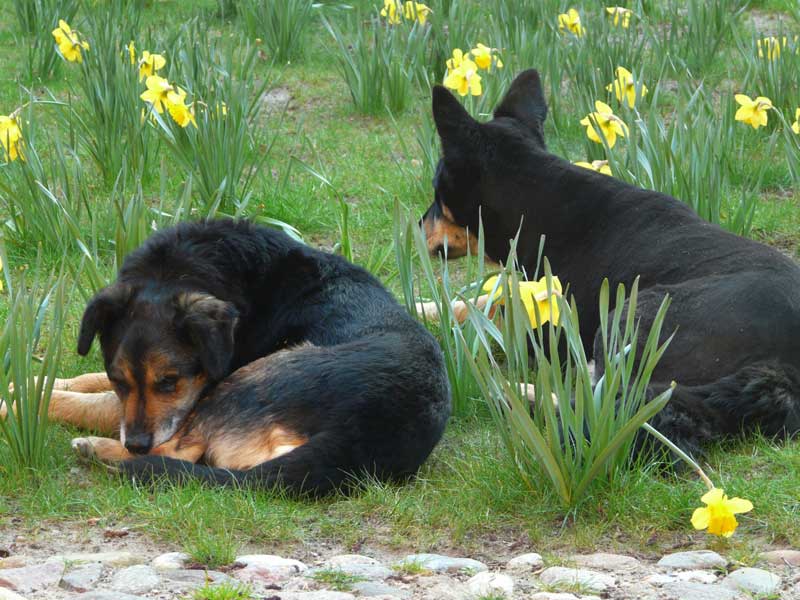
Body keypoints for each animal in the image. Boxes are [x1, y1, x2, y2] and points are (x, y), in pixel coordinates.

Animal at [43, 218, 454, 494]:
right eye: (119, 379)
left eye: (169, 382)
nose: (136, 443)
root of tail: (358, 436)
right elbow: (87, 381)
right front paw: (41, 379)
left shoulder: (191, 397)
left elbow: (86, 405)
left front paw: (30, 398)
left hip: (251, 377)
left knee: (179, 454)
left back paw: (97, 450)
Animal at [422, 69, 796, 454]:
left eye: (436, 189)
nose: (420, 227)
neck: (538, 200)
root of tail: (783, 370)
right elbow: (476, 301)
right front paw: (424, 307)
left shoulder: (545, 327)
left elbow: (488, 313)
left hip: (633, 314)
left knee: (610, 401)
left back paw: (517, 393)